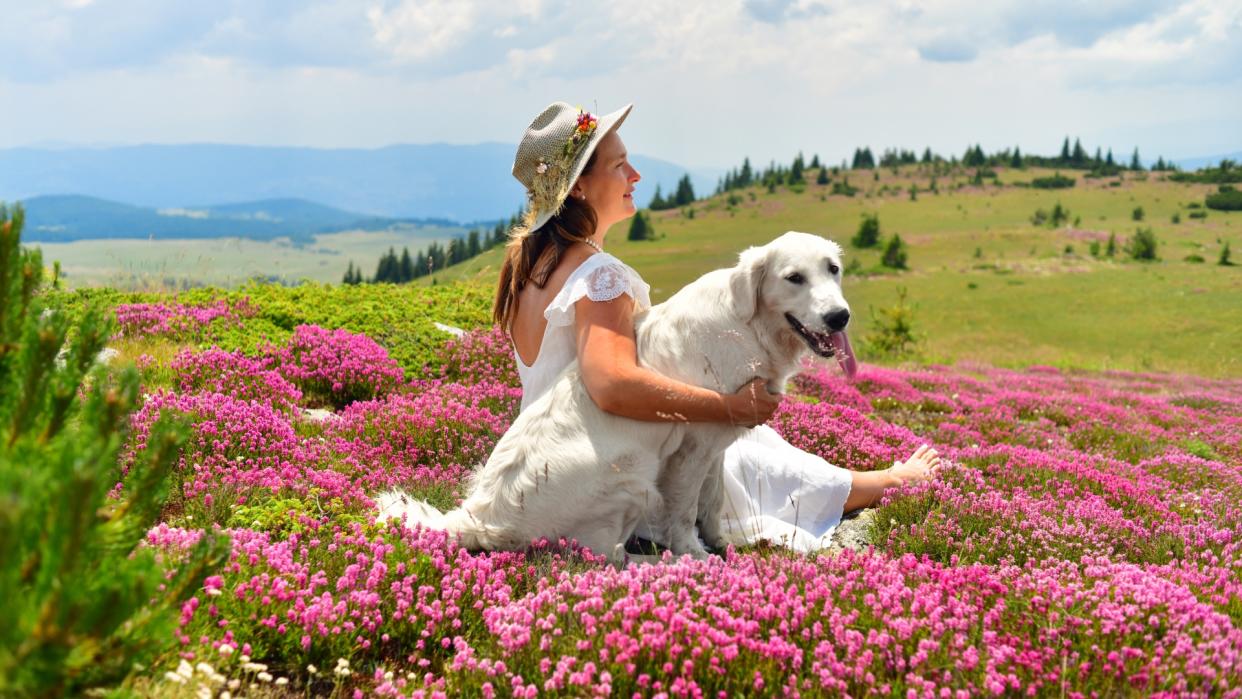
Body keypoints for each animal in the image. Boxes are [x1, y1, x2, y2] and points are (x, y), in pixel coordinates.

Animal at [377, 232, 859, 566]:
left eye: (833, 269)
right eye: (794, 278)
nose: (840, 316)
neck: (748, 324)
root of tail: (479, 518)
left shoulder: (716, 444)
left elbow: (713, 500)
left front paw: (720, 541)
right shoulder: (690, 450)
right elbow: (685, 511)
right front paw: (696, 553)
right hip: (633, 478)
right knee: (607, 557)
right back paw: (665, 563)